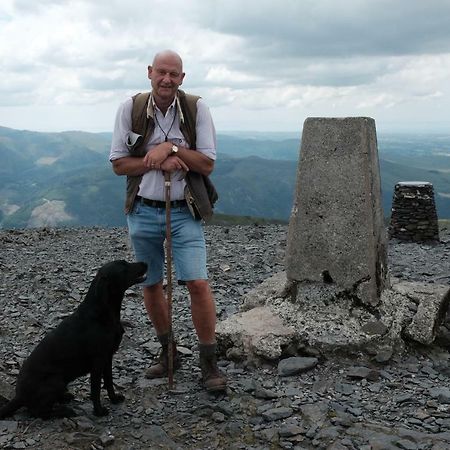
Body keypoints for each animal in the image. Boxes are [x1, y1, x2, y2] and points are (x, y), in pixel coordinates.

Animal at [0, 260, 147, 418]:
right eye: (124, 268)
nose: (145, 263)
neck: (103, 313)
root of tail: (19, 396)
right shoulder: (98, 361)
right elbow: (95, 389)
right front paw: (99, 411)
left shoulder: (108, 357)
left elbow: (109, 382)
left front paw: (113, 399)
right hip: (56, 380)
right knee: (39, 412)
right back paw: (64, 411)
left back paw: (64, 398)